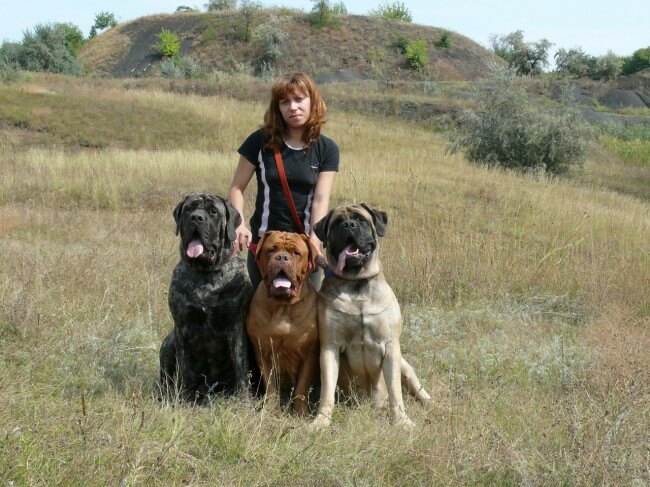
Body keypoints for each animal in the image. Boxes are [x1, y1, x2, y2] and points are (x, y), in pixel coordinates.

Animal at [246, 233, 318, 416]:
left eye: (296, 253)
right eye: (271, 250)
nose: (282, 257)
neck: (282, 307)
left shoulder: (309, 353)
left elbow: (301, 388)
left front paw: (301, 414)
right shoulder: (262, 352)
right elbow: (270, 386)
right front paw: (269, 411)